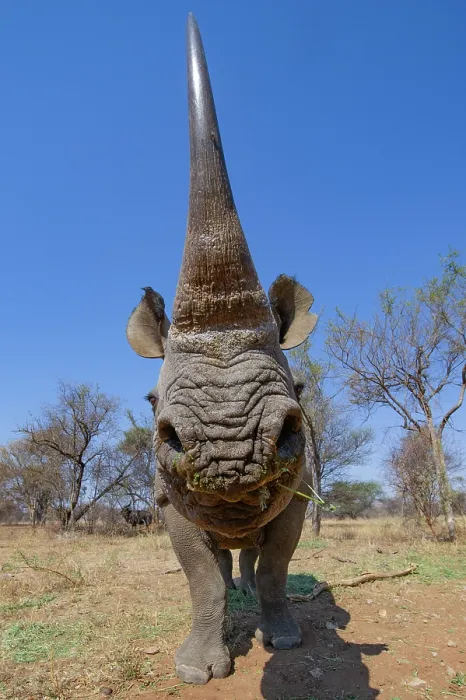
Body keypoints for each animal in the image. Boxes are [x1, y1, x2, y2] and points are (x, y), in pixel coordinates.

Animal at [126, 14, 317, 685]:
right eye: (151, 401)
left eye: (299, 390)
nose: (230, 446)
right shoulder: (166, 500)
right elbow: (200, 579)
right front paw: (197, 670)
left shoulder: (299, 489)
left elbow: (279, 567)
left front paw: (283, 639)